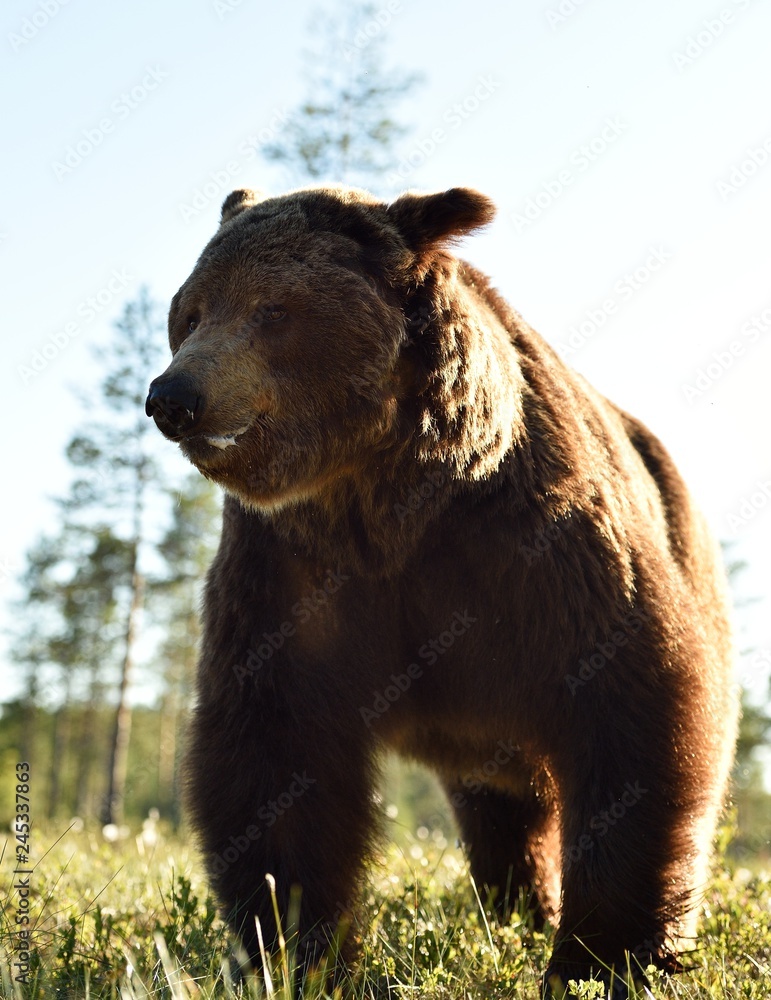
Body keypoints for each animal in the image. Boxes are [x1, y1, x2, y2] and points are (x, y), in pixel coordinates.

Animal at [145, 184, 737, 998]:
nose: (174, 396)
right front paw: (296, 947)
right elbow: (274, 752)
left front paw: (605, 956)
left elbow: (635, 709)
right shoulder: (291, 574)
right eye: (193, 310)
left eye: (274, 308)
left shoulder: (539, 546)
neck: (387, 494)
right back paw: (516, 905)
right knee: (503, 813)